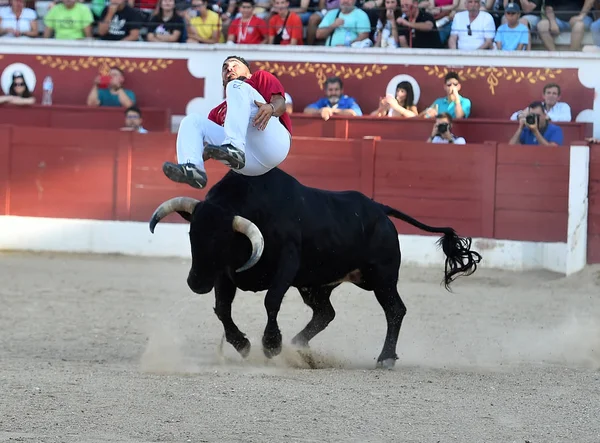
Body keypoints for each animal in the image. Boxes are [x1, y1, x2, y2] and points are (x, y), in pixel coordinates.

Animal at [150, 168, 482, 370]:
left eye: (221, 239)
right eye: (192, 234)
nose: (195, 283)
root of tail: (380, 209)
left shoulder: (287, 263)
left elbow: (271, 300)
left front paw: (271, 345)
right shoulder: (225, 274)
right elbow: (222, 309)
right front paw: (243, 345)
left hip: (382, 278)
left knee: (395, 310)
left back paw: (385, 358)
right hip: (317, 285)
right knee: (326, 313)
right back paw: (299, 346)